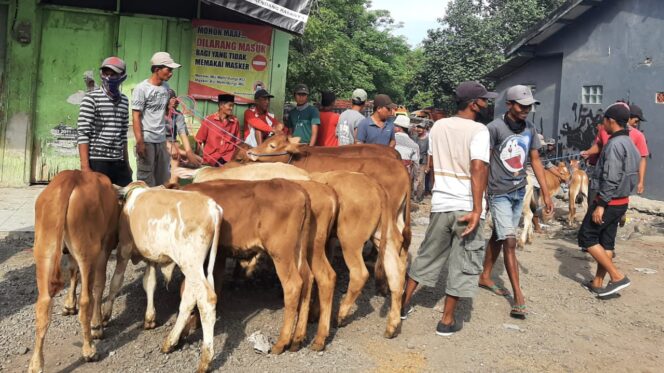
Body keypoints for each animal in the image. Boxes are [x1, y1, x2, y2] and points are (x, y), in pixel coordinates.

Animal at [29, 171, 120, 372]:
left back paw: (36, 363)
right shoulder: (104, 248)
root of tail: (71, 177)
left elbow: (72, 272)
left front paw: (69, 305)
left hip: (44, 251)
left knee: (43, 304)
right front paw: (97, 326)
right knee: (86, 299)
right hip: (88, 251)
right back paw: (89, 350)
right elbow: (99, 286)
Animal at [101, 183, 220, 372]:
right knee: (190, 298)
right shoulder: (151, 257)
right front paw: (150, 318)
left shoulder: (124, 249)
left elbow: (115, 282)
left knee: (206, 299)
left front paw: (106, 315)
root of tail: (212, 207)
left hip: (190, 263)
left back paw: (205, 359)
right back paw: (170, 342)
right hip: (195, 266)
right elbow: (149, 283)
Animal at [183, 179, 316, 354]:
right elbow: (213, 286)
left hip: (281, 253)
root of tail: (297, 188)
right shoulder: (218, 256)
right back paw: (297, 340)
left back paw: (281, 342)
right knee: (308, 279)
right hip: (299, 250)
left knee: (293, 285)